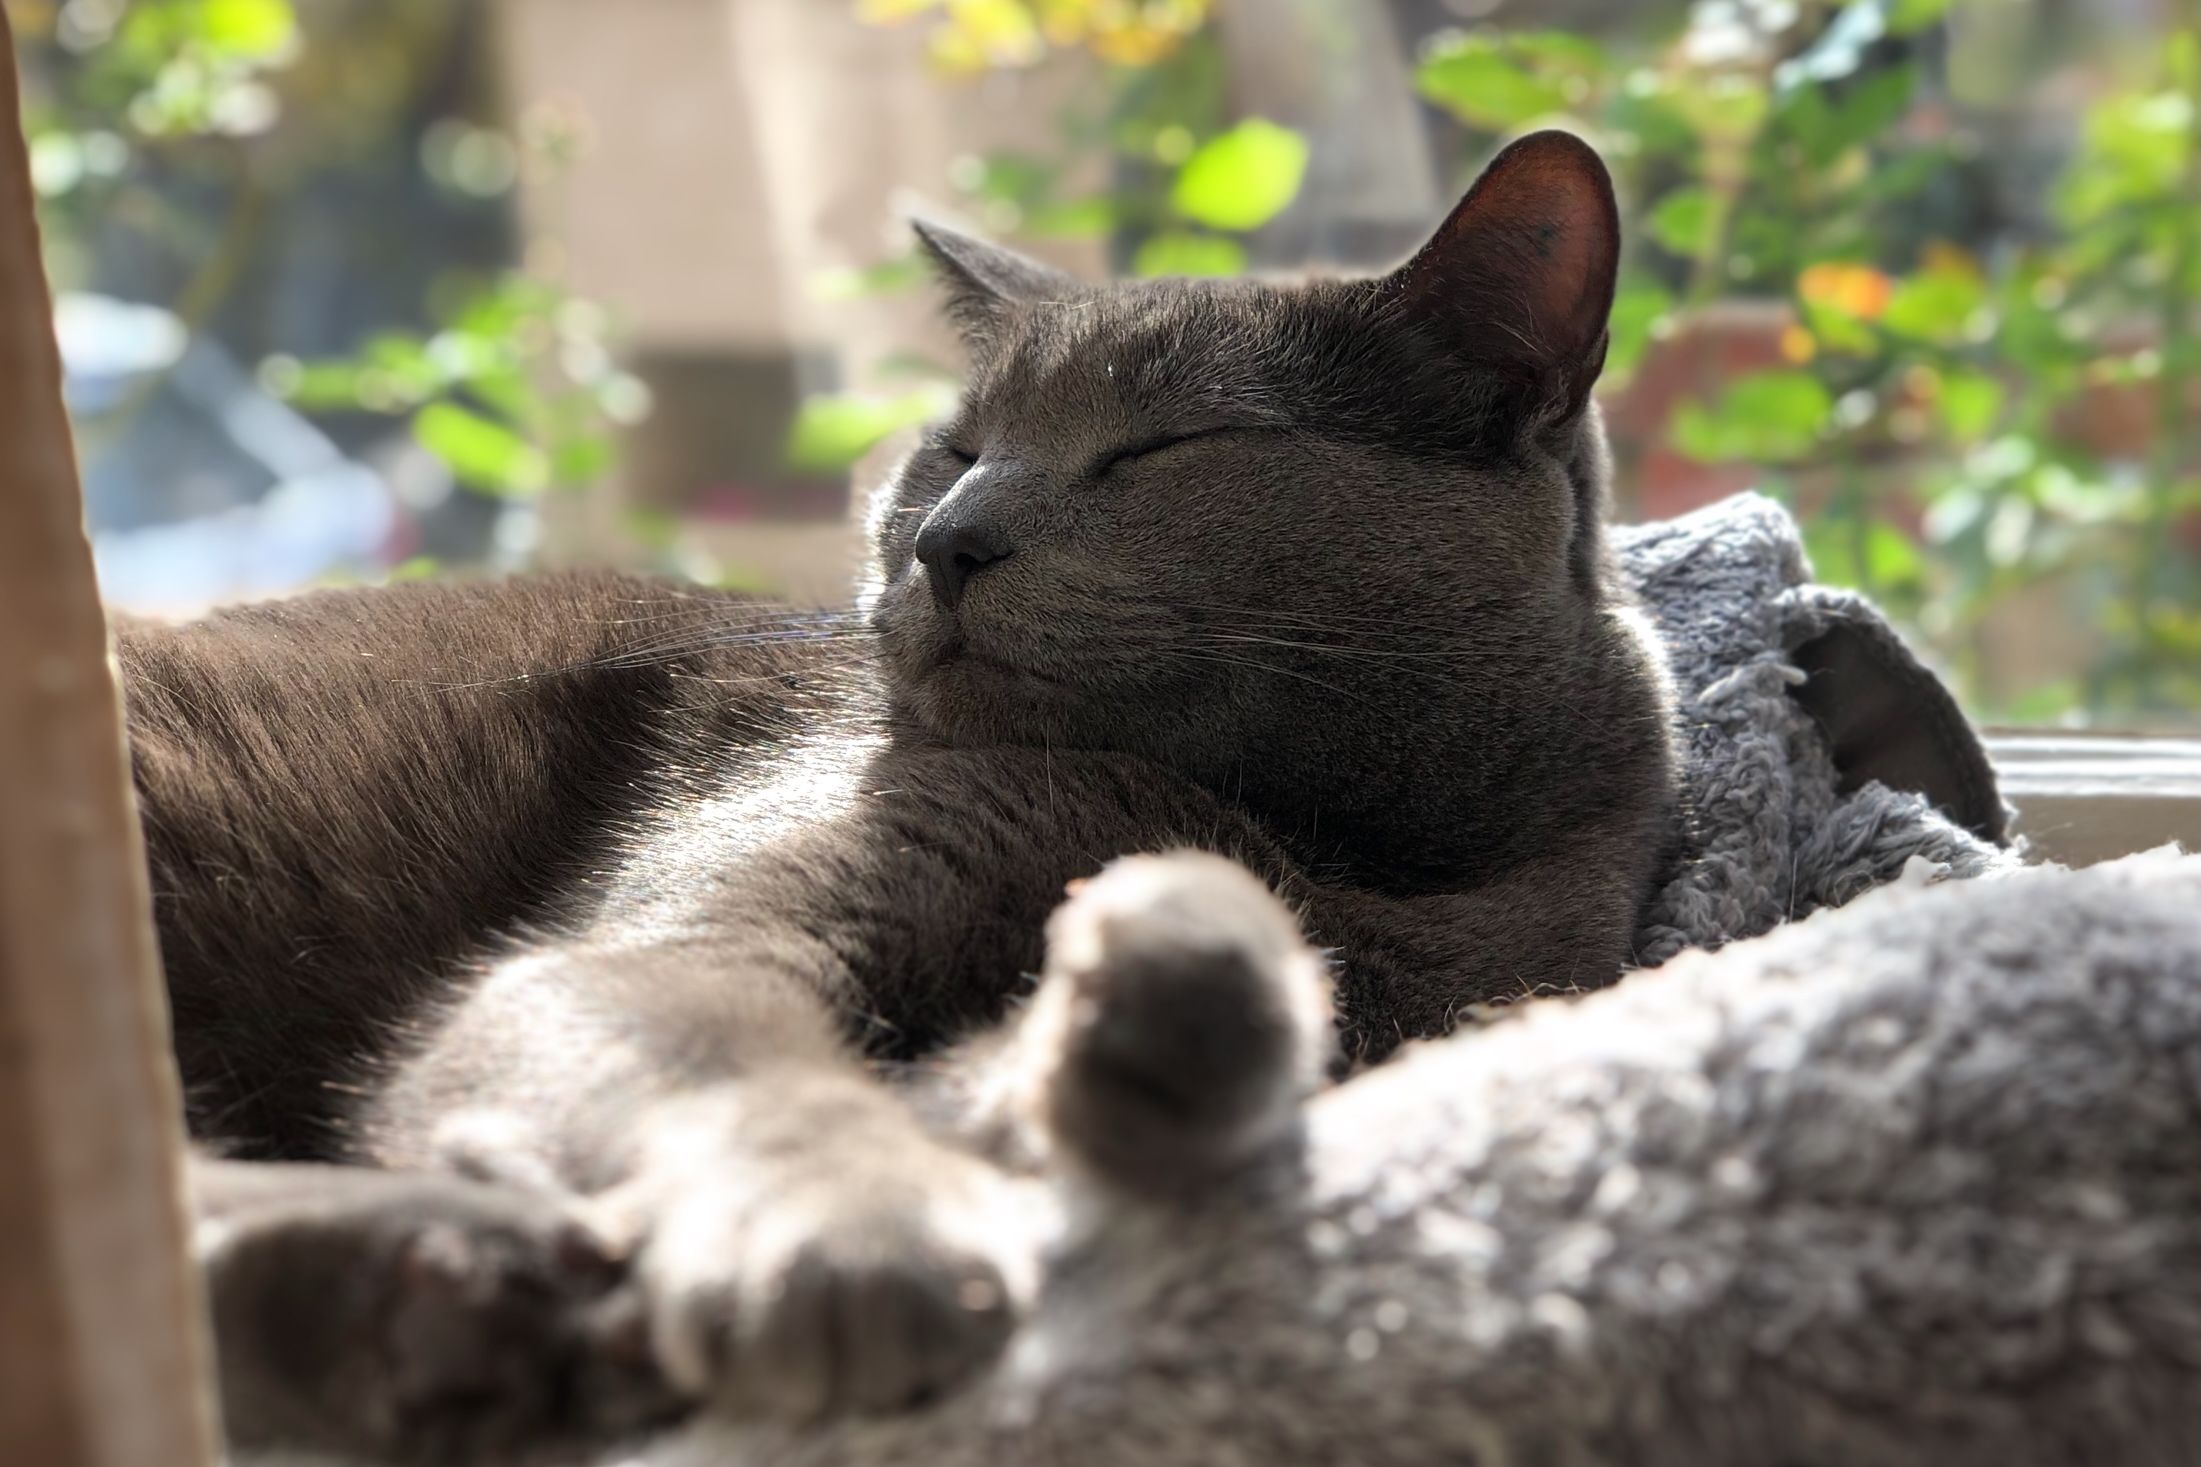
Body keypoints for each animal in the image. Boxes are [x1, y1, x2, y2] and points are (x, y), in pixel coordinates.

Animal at [133, 131, 1663, 1460]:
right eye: (954, 446)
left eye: (1160, 447)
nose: (947, 539)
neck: (1329, 842)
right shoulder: (699, 915)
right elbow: (732, 1054)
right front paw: (846, 1238)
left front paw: (1123, 1034)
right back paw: (455, 1296)